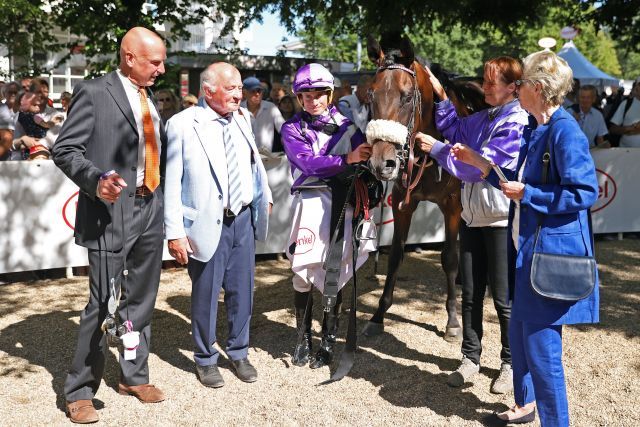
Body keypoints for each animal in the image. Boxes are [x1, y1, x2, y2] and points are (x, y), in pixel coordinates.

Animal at [362, 35, 488, 342]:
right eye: (370, 94)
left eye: (407, 96)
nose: (382, 162)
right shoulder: (403, 202)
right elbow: (396, 256)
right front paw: (378, 316)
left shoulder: (453, 205)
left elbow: (450, 257)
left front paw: (453, 321)